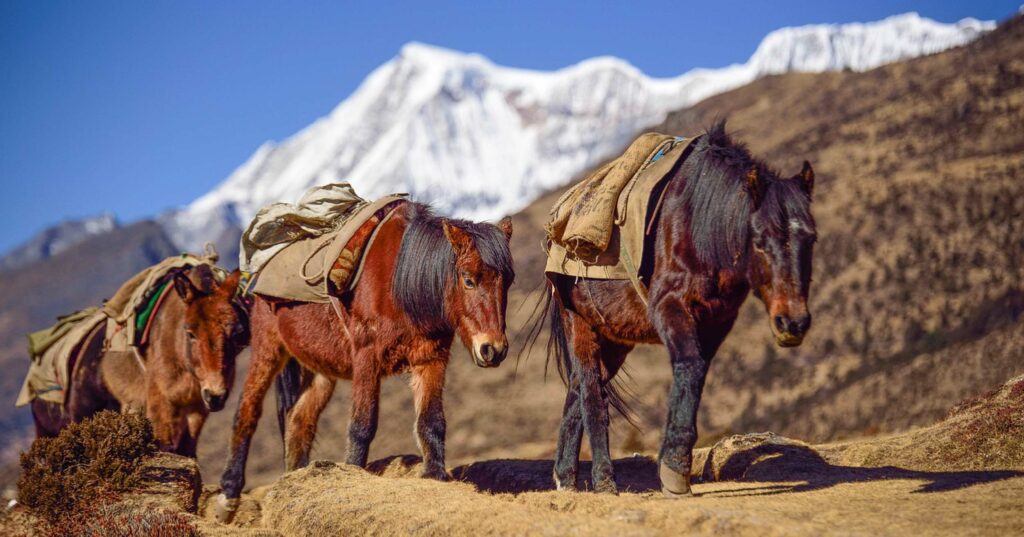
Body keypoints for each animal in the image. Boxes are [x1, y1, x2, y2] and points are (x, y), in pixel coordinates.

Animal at [31, 264, 247, 457]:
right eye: (190, 333)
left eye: (237, 331)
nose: (215, 395)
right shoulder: (160, 407)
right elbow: (166, 448)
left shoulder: (196, 411)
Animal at [217, 202, 516, 520]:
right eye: (468, 279)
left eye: (508, 282)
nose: (493, 349)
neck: (401, 282)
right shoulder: (366, 358)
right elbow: (362, 425)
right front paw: (353, 473)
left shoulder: (431, 359)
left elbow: (431, 421)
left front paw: (434, 476)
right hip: (268, 350)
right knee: (246, 412)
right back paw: (228, 496)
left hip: (320, 371)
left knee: (299, 421)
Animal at [544, 120, 815, 496]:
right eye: (760, 241)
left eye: (811, 239)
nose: (793, 323)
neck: (701, 225)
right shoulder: (669, 307)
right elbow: (689, 364)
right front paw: (673, 471)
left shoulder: (717, 321)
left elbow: (697, 372)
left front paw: (676, 464)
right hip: (579, 324)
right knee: (592, 396)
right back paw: (604, 480)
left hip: (613, 339)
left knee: (577, 390)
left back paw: (566, 479)